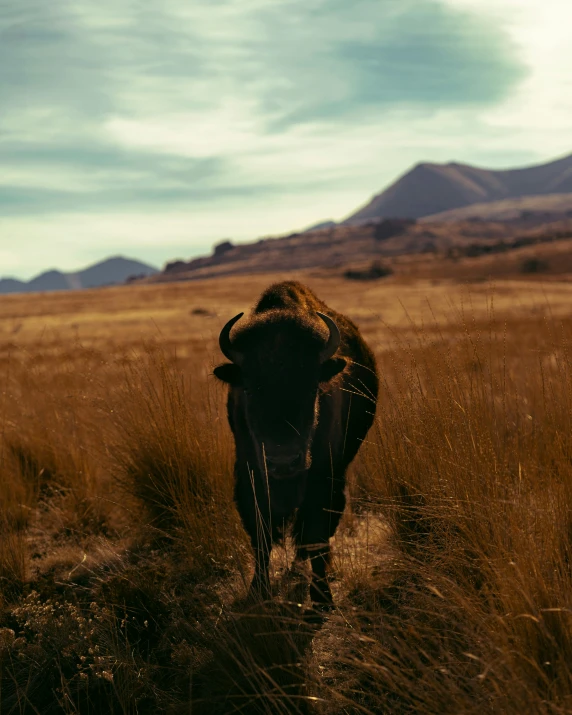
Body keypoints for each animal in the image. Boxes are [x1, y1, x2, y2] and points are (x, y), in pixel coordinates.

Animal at [212, 282, 378, 608]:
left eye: (312, 387)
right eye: (248, 388)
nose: (283, 461)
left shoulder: (325, 478)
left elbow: (316, 535)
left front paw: (322, 599)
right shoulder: (250, 476)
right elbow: (261, 536)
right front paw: (257, 591)